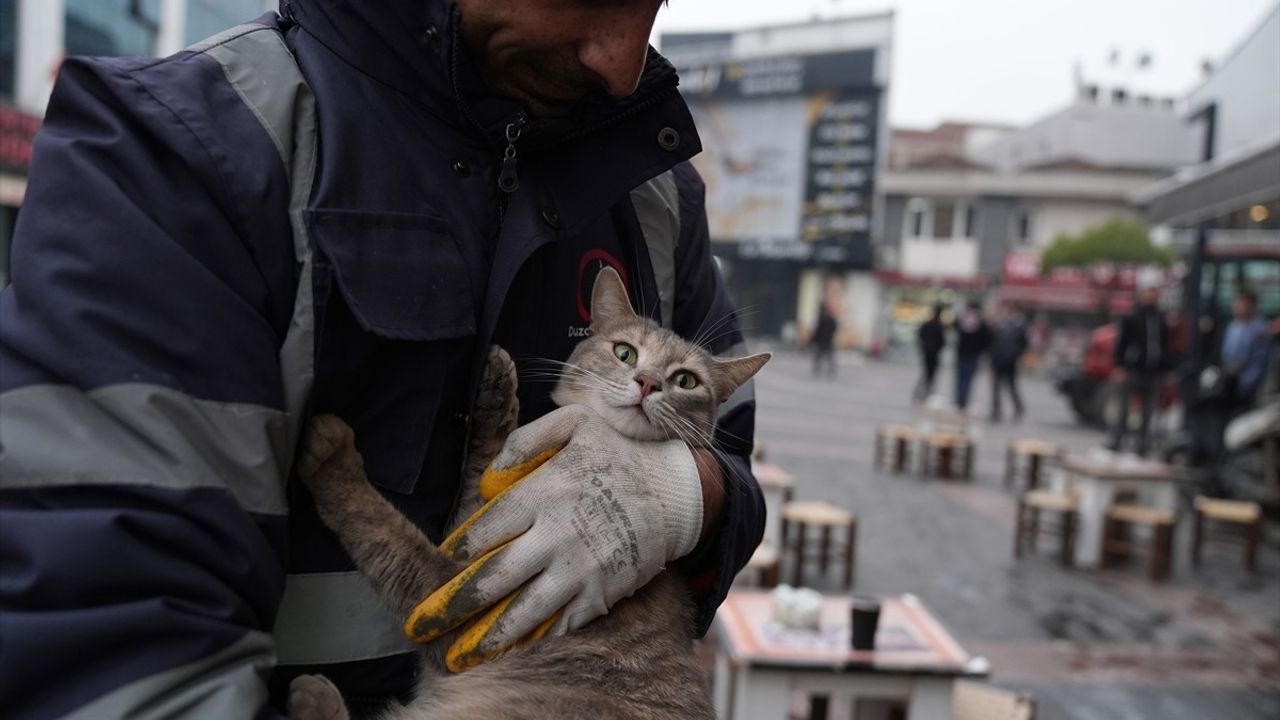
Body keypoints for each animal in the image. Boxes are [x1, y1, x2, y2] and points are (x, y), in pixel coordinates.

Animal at [290, 266, 768, 712]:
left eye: (686, 381)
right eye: (625, 352)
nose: (648, 382)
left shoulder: (461, 604)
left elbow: (388, 535)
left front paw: (336, 461)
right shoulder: (480, 516)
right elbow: (487, 461)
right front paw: (497, 390)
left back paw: (316, 696)